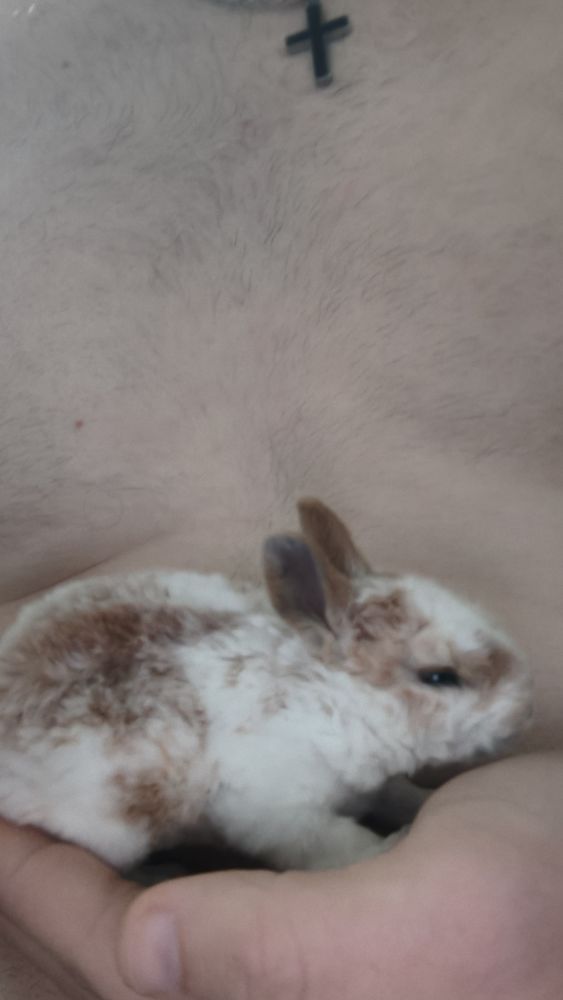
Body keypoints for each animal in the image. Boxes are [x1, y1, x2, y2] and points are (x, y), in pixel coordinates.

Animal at [0, 499, 532, 872]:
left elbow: (396, 794)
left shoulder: (371, 787)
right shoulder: (276, 809)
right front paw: (390, 846)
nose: (525, 705)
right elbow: (337, 844)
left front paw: (419, 804)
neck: (331, 698)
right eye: (439, 676)